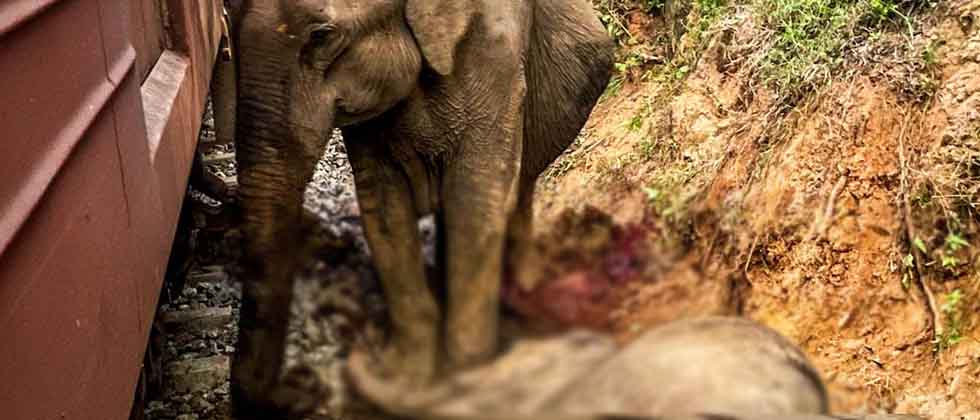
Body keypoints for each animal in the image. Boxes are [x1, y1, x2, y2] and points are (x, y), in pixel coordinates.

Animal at [220, 0, 615, 418]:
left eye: (321, 36)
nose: (302, 385)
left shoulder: (497, 55)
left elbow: (474, 199)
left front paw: (464, 383)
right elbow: (384, 207)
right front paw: (410, 376)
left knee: (518, 191)